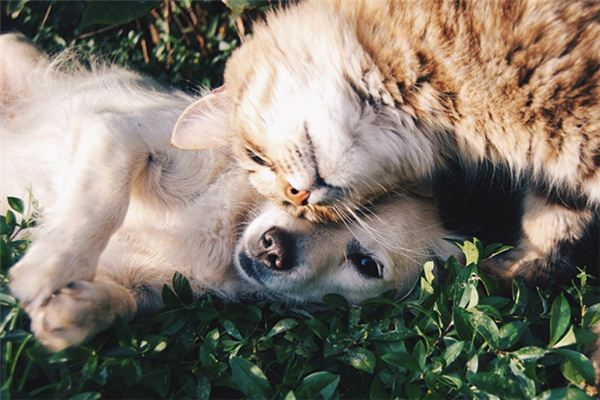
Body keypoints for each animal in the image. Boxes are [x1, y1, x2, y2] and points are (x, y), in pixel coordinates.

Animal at [170, 0, 600, 288]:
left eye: (256, 157)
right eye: (302, 209)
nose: (298, 196)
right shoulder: (561, 171)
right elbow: (551, 222)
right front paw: (514, 272)